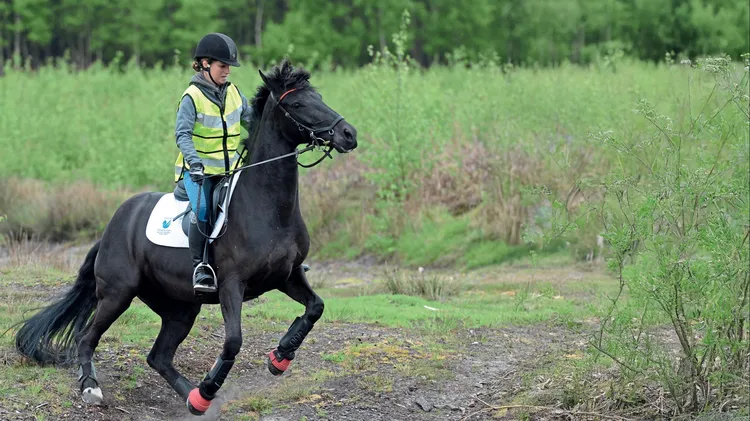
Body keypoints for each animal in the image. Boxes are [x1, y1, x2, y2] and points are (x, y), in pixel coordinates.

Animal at [14, 58, 358, 415]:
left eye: (319, 96)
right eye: (298, 104)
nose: (349, 134)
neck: (267, 208)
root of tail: (113, 226)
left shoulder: (286, 276)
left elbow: (315, 308)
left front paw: (280, 357)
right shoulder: (232, 285)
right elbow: (233, 341)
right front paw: (217, 382)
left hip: (180, 308)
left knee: (159, 357)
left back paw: (195, 398)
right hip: (118, 294)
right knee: (87, 338)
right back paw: (93, 388)